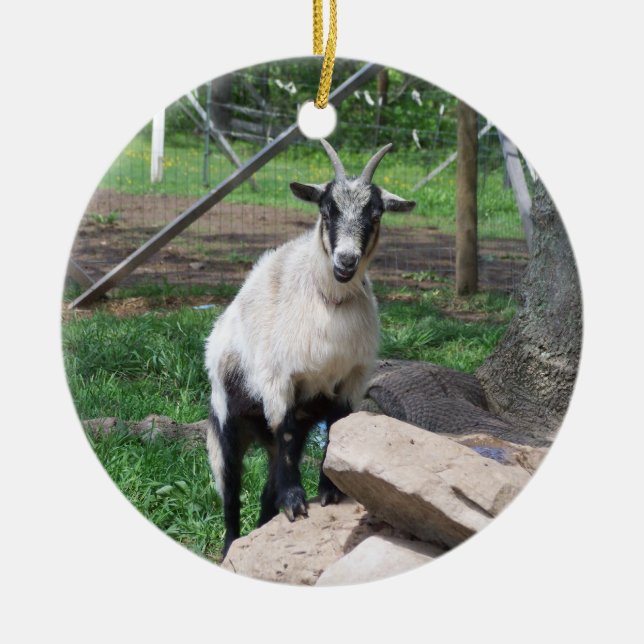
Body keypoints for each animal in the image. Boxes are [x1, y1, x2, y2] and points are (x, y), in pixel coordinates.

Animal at [204, 139, 416, 556]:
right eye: (326, 209)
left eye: (376, 214)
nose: (346, 260)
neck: (328, 299)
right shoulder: (278, 381)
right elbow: (285, 433)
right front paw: (295, 503)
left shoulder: (349, 381)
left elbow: (336, 433)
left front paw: (329, 493)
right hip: (225, 422)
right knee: (231, 492)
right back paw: (231, 545)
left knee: (265, 489)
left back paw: (264, 526)